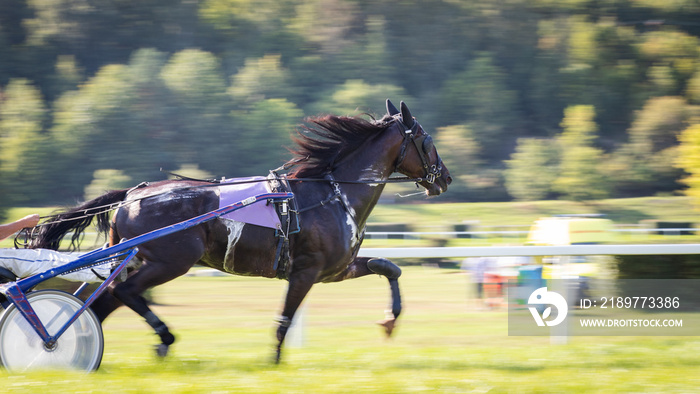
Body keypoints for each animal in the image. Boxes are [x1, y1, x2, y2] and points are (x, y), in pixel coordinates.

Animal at [31, 101, 454, 364]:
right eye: (427, 141)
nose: (445, 178)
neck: (334, 194)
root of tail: (132, 195)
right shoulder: (306, 271)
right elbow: (284, 318)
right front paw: (275, 361)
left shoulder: (335, 269)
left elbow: (389, 267)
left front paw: (390, 320)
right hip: (171, 261)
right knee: (125, 293)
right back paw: (162, 339)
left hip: (138, 259)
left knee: (106, 302)